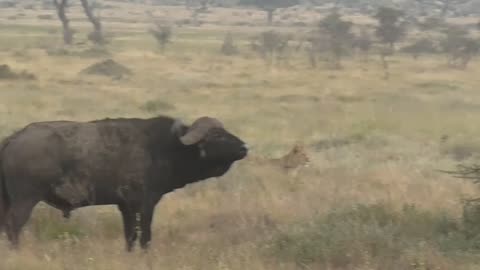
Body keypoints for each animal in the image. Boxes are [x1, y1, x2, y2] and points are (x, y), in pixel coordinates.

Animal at [0, 115, 248, 251]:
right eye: (217, 135)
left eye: (224, 131)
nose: (244, 147)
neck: (165, 147)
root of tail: (13, 138)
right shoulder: (145, 204)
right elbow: (145, 236)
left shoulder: (126, 207)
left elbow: (130, 236)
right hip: (25, 200)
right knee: (13, 226)